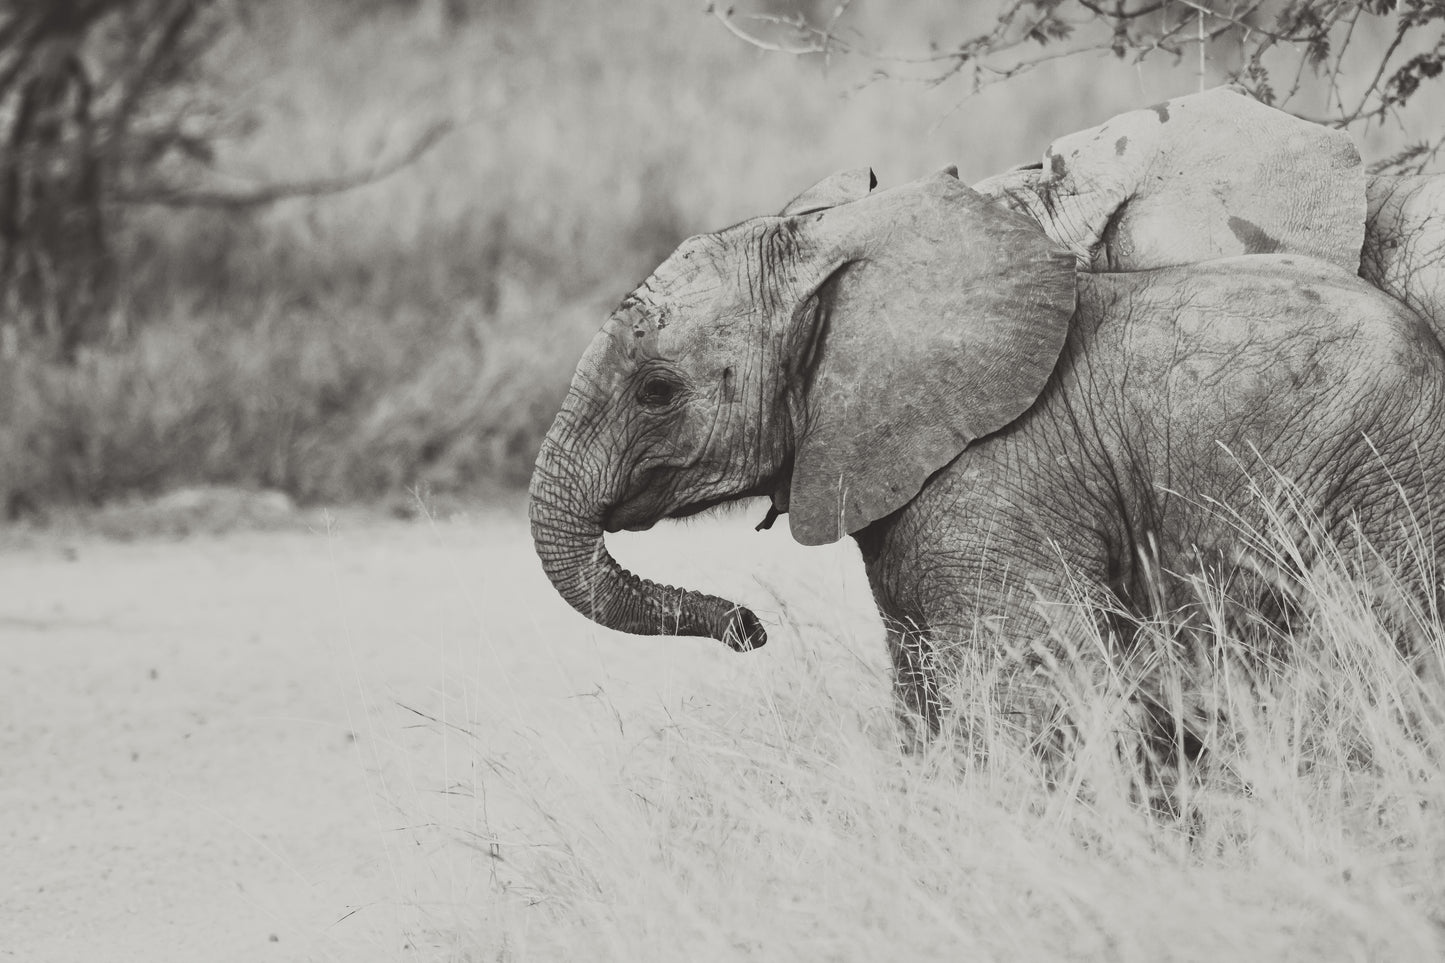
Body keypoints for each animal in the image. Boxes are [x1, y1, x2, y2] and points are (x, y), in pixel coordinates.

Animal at [528, 88, 1445, 746]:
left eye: (656, 390)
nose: (751, 627)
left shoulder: (1000, 473)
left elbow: (1033, 688)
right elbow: (920, 692)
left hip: (1380, 477)